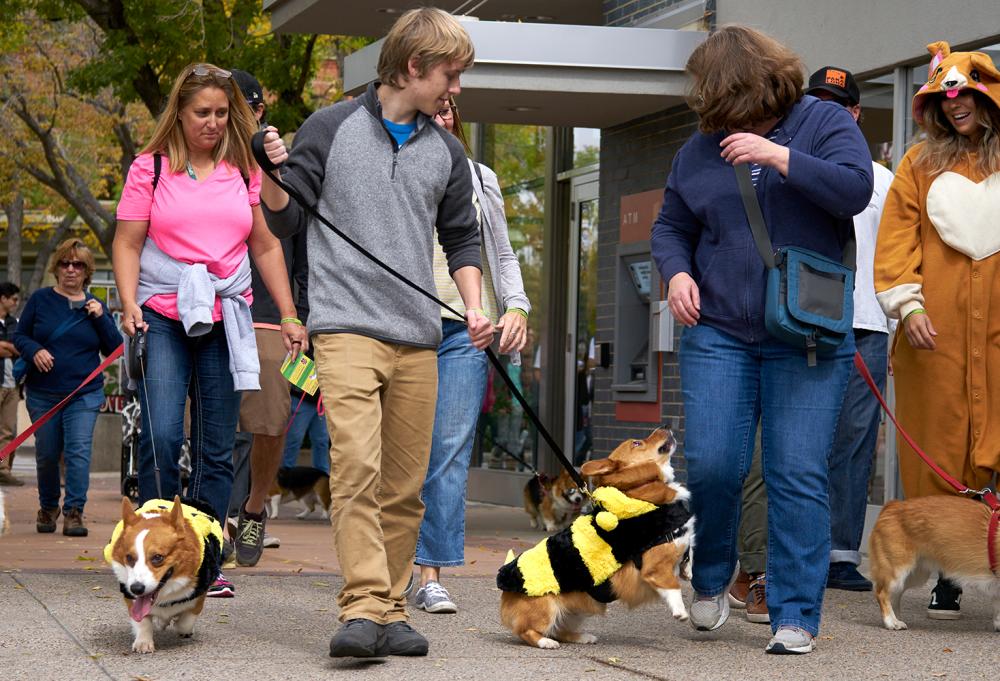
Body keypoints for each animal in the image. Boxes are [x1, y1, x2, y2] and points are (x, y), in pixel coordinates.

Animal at [868, 494, 1000, 632]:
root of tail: (893, 505)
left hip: (915, 575)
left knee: (895, 595)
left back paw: (896, 618)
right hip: (897, 570)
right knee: (882, 594)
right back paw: (891, 621)